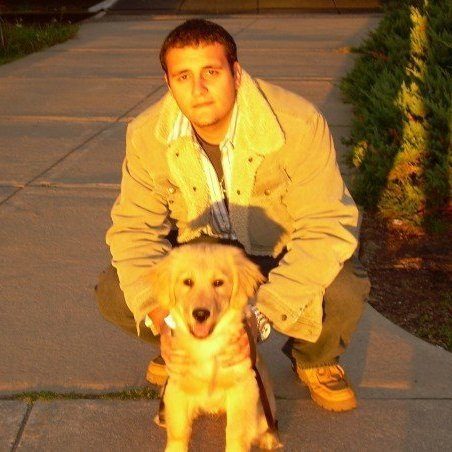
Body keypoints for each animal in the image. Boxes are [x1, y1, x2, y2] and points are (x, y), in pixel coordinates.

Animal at [148, 243, 282, 452]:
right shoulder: (177, 388)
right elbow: (179, 431)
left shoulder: (243, 388)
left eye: (218, 283)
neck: (206, 344)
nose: (200, 314)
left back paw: (268, 438)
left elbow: (236, 433)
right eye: (187, 282)